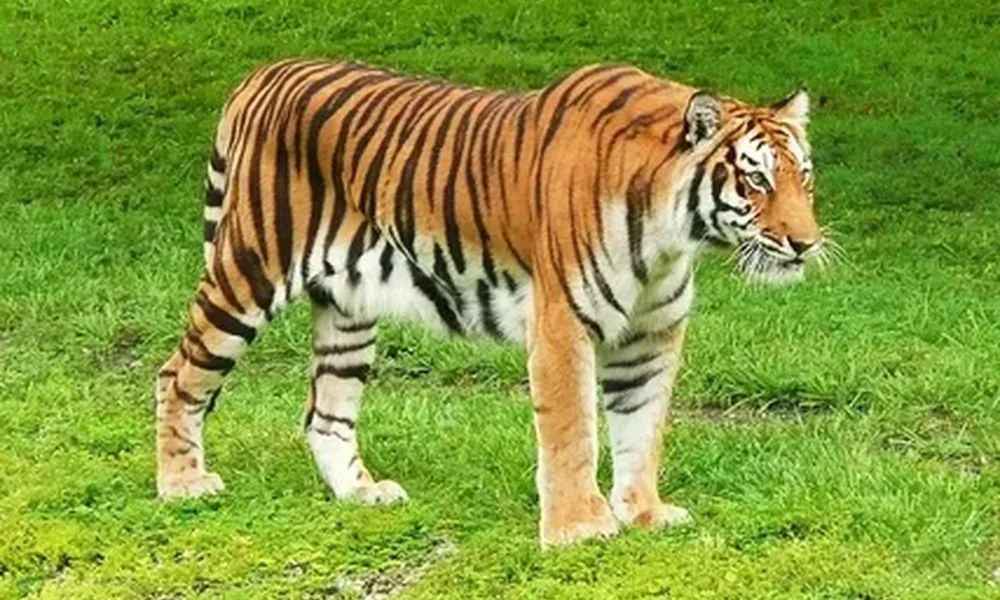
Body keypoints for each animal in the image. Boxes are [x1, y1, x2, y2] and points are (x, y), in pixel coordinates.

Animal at [155, 59, 824, 546]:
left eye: (804, 177)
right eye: (756, 179)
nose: (806, 243)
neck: (670, 235)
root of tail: (262, 74)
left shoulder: (650, 336)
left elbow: (642, 426)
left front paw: (644, 514)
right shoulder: (563, 323)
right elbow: (572, 429)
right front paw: (580, 528)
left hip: (348, 310)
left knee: (326, 413)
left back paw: (362, 494)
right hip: (248, 273)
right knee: (178, 375)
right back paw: (182, 484)